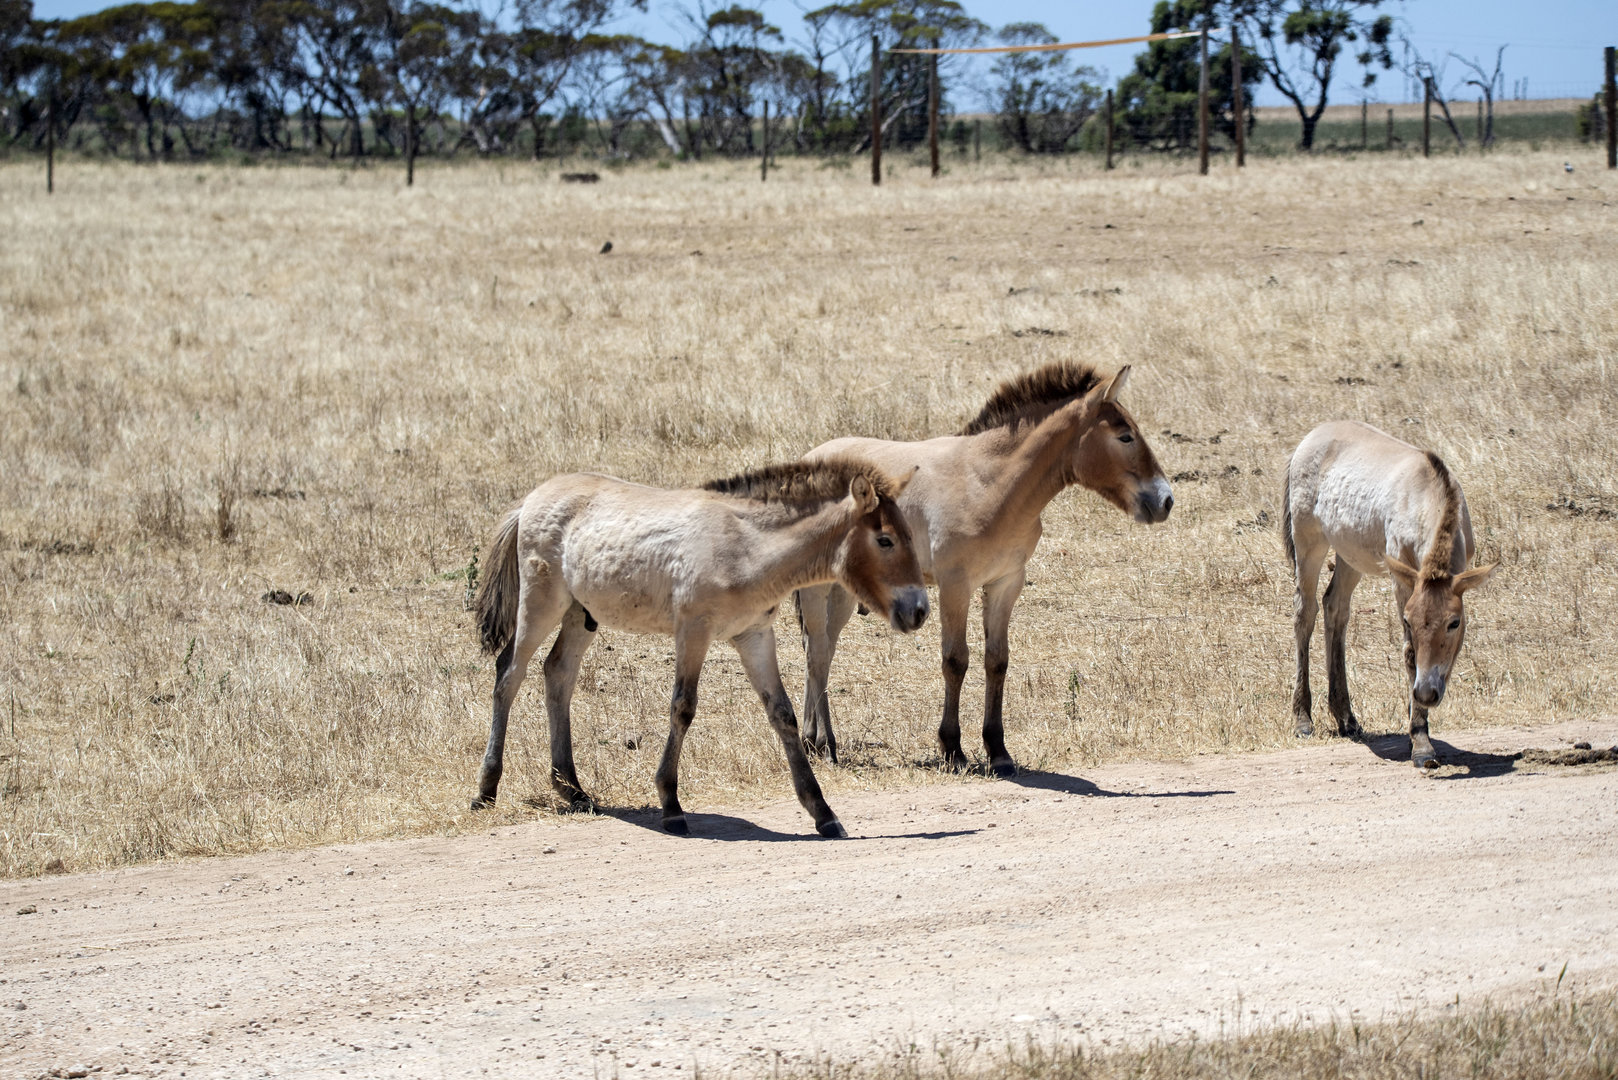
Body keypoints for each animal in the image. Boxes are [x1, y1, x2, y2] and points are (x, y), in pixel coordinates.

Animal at [469, 457, 929, 837]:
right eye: (885, 540)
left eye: (909, 535)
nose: (919, 610)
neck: (746, 547)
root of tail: (531, 499)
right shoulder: (694, 631)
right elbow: (683, 707)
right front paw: (671, 804)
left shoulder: (754, 635)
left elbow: (782, 715)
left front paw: (822, 812)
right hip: (541, 603)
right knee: (509, 675)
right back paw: (486, 789)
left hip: (582, 613)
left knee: (558, 673)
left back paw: (572, 788)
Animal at [794, 362, 1173, 775]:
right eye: (1125, 436)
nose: (1165, 500)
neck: (988, 484)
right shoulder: (955, 586)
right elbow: (955, 660)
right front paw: (953, 748)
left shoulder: (1006, 583)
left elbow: (997, 660)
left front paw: (998, 751)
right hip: (817, 589)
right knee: (818, 651)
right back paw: (822, 743)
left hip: (844, 591)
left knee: (823, 648)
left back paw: (815, 740)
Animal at [1283, 421, 1497, 768]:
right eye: (1409, 621)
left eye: (1454, 623)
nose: (1426, 693)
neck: (1428, 495)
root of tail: (1311, 436)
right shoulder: (1403, 582)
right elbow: (1410, 652)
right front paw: (1421, 742)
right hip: (1309, 542)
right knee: (1306, 612)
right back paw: (1303, 718)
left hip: (1349, 555)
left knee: (1335, 607)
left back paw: (1346, 718)